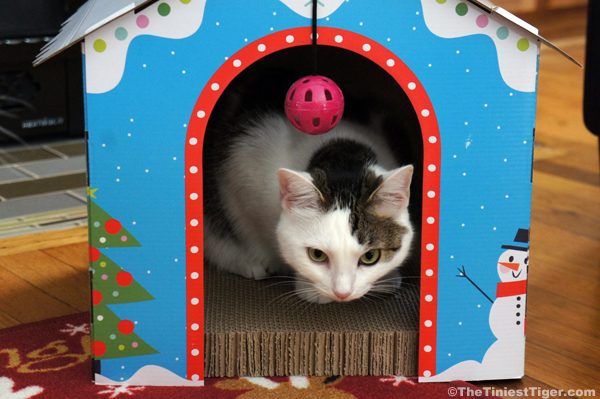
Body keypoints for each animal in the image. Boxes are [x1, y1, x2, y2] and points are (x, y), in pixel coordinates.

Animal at [202, 111, 412, 304]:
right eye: (317, 254)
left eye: (370, 256)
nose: (342, 293)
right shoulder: (242, 161)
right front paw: (310, 287)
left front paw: (387, 277)